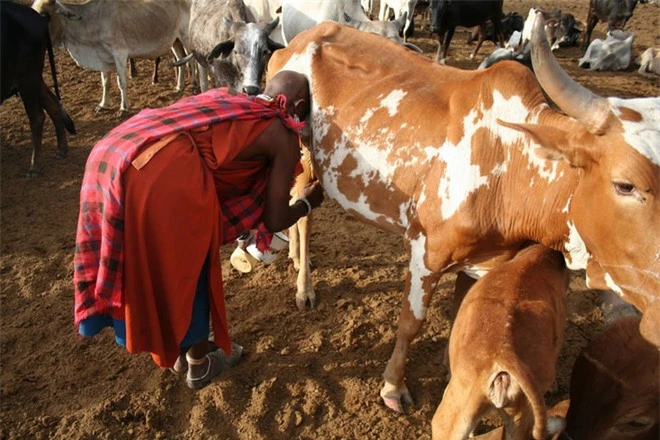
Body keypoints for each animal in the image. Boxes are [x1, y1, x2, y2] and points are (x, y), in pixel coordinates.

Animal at [0, 2, 75, 177]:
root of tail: (38, 17)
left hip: (29, 78)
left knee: (37, 117)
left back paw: (35, 166)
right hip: (33, 79)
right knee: (53, 104)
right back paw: (61, 150)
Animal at [31, 0, 189, 115]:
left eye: (45, 16)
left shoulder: (120, 53)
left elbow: (121, 82)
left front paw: (124, 108)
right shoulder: (102, 57)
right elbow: (105, 83)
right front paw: (103, 105)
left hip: (186, 37)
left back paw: (192, 86)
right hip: (175, 41)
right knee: (180, 58)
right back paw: (179, 86)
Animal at [266, 13, 660, 412]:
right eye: (625, 185)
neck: (509, 158)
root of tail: (297, 41)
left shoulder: (484, 258)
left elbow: (461, 312)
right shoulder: (426, 253)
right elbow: (411, 323)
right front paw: (393, 386)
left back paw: (297, 259)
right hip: (303, 158)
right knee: (303, 215)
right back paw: (304, 285)